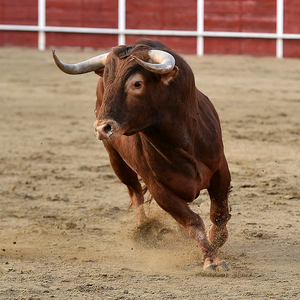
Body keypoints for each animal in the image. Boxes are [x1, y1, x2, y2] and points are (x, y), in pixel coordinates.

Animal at [52, 38, 232, 270]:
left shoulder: (220, 169)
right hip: (116, 160)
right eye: (107, 81)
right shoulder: (159, 189)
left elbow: (219, 214)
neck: (182, 142)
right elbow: (192, 221)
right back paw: (145, 228)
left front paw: (215, 239)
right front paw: (212, 258)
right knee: (135, 192)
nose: (102, 128)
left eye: (137, 84)